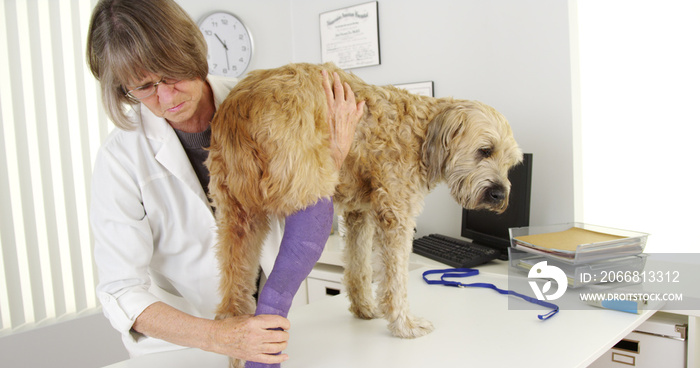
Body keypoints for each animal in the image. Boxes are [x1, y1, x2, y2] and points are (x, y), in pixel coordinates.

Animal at [206, 61, 520, 340]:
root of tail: (240, 104)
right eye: (485, 150)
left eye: (511, 163)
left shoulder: (360, 213)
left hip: (237, 216)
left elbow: (359, 266)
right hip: (303, 192)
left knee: (231, 297)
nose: (499, 195)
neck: (422, 133)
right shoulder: (396, 216)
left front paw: (364, 308)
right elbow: (395, 279)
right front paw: (404, 324)